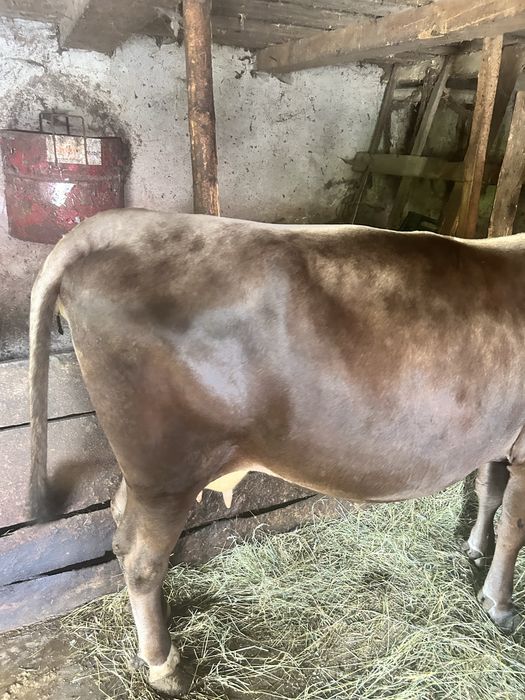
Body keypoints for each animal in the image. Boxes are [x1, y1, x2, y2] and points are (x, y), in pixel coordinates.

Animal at [29, 208, 525, 696]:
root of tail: (111, 225)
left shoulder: (499, 439)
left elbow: (488, 492)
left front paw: (474, 549)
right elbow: (513, 528)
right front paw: (499, 604)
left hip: (150, 472)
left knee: (117, 513)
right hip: (167, 469)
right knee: (140, 557)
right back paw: (165, 666)